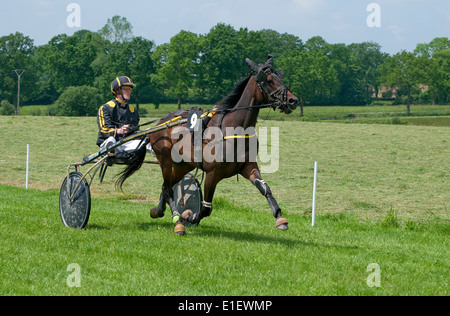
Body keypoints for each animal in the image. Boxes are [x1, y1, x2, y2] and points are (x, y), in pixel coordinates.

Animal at [116, 55, 298, 236]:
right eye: (268, 80)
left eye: (280, 77)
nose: (293, 100)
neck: (233, 129)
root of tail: (162, 122)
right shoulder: (212, 173)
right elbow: (206, 208)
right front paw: (189, 216)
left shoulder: (248, 166)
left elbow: (265, 188)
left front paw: (280, 218)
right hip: (165, 160)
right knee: (168, 188)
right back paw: (178, 222)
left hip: (184, 164)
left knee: (167, 185)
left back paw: (158, 211)